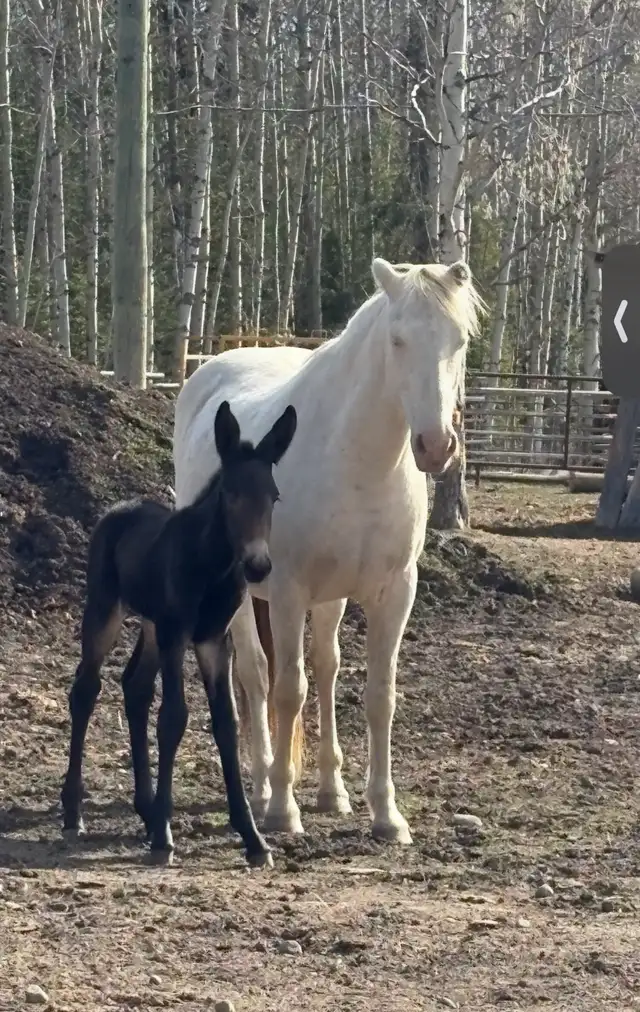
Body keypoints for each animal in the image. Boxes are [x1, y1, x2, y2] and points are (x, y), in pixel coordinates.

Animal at [60, 399, 297, 866]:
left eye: (274, 497)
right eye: (230, 494)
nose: (258, 565)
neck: (213, 567)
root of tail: (118, 510)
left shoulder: (213, 641)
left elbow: (227, 723)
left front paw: (253, 838)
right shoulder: (179, 634)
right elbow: (173, 718)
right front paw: (164, 838)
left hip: (153, 626)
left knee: (134, 686)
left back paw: (146, 809)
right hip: (106, 610)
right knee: (86, 689)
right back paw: (75, 812)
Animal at [173, 258, 484, 845]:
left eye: (459, 341)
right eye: (398, 340)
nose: (436, 447)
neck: (358, 460)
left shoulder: (394, 592)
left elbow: (378, 695)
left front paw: (386, 815)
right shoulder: (288, 592)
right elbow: (287, 690)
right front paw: (282, 810)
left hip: (330, 598)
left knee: (326, 667)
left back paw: (329, 791)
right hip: (246, 594)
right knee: (256, 675)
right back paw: (263, 788)